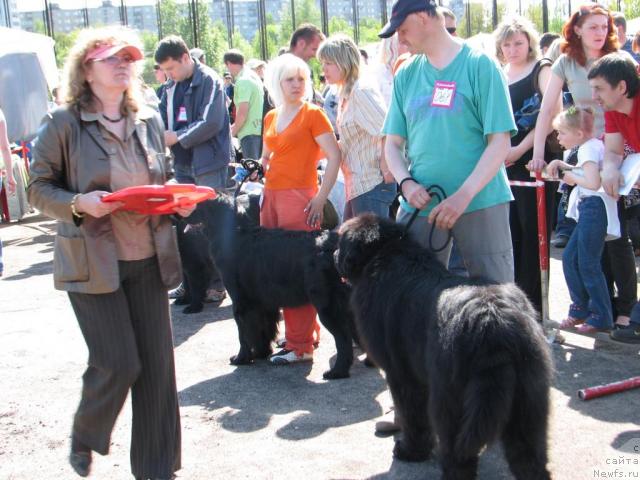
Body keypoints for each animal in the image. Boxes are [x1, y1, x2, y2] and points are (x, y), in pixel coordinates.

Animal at [190, 194, 356, 378]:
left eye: (199, 203)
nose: (179, 216)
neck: (235, 233)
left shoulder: (241, 301)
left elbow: (243, 334)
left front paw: (241, 358)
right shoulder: (262, 303)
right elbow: (262, 330)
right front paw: (261, 353)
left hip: (327, 305)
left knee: (343, 338)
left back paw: (337, 371)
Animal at [338, 215, 552, 480]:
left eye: (340, 240)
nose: (333, 253)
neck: (385, 254)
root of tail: (493, 322)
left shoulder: (402, 374)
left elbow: (413, 415)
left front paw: (410, 450)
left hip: (451, 395)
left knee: (455, 444)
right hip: (530, 396)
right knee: (528, 452)